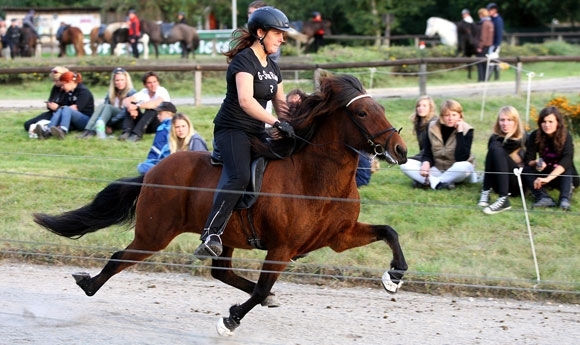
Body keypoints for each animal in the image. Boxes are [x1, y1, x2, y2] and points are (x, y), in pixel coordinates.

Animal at [34, 73, 410, 336]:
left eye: (382, 108)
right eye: (362, 112)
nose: (401, 150)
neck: (317, 179)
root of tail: (154, 170)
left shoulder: (339, 237)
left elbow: (389, 232)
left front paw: (394, 276)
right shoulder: (282, 248)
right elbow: (261, 287)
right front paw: (230, 320)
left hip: (221, 235)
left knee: (221, 270)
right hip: (154, 234)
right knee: (119, 257)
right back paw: (88, 284)